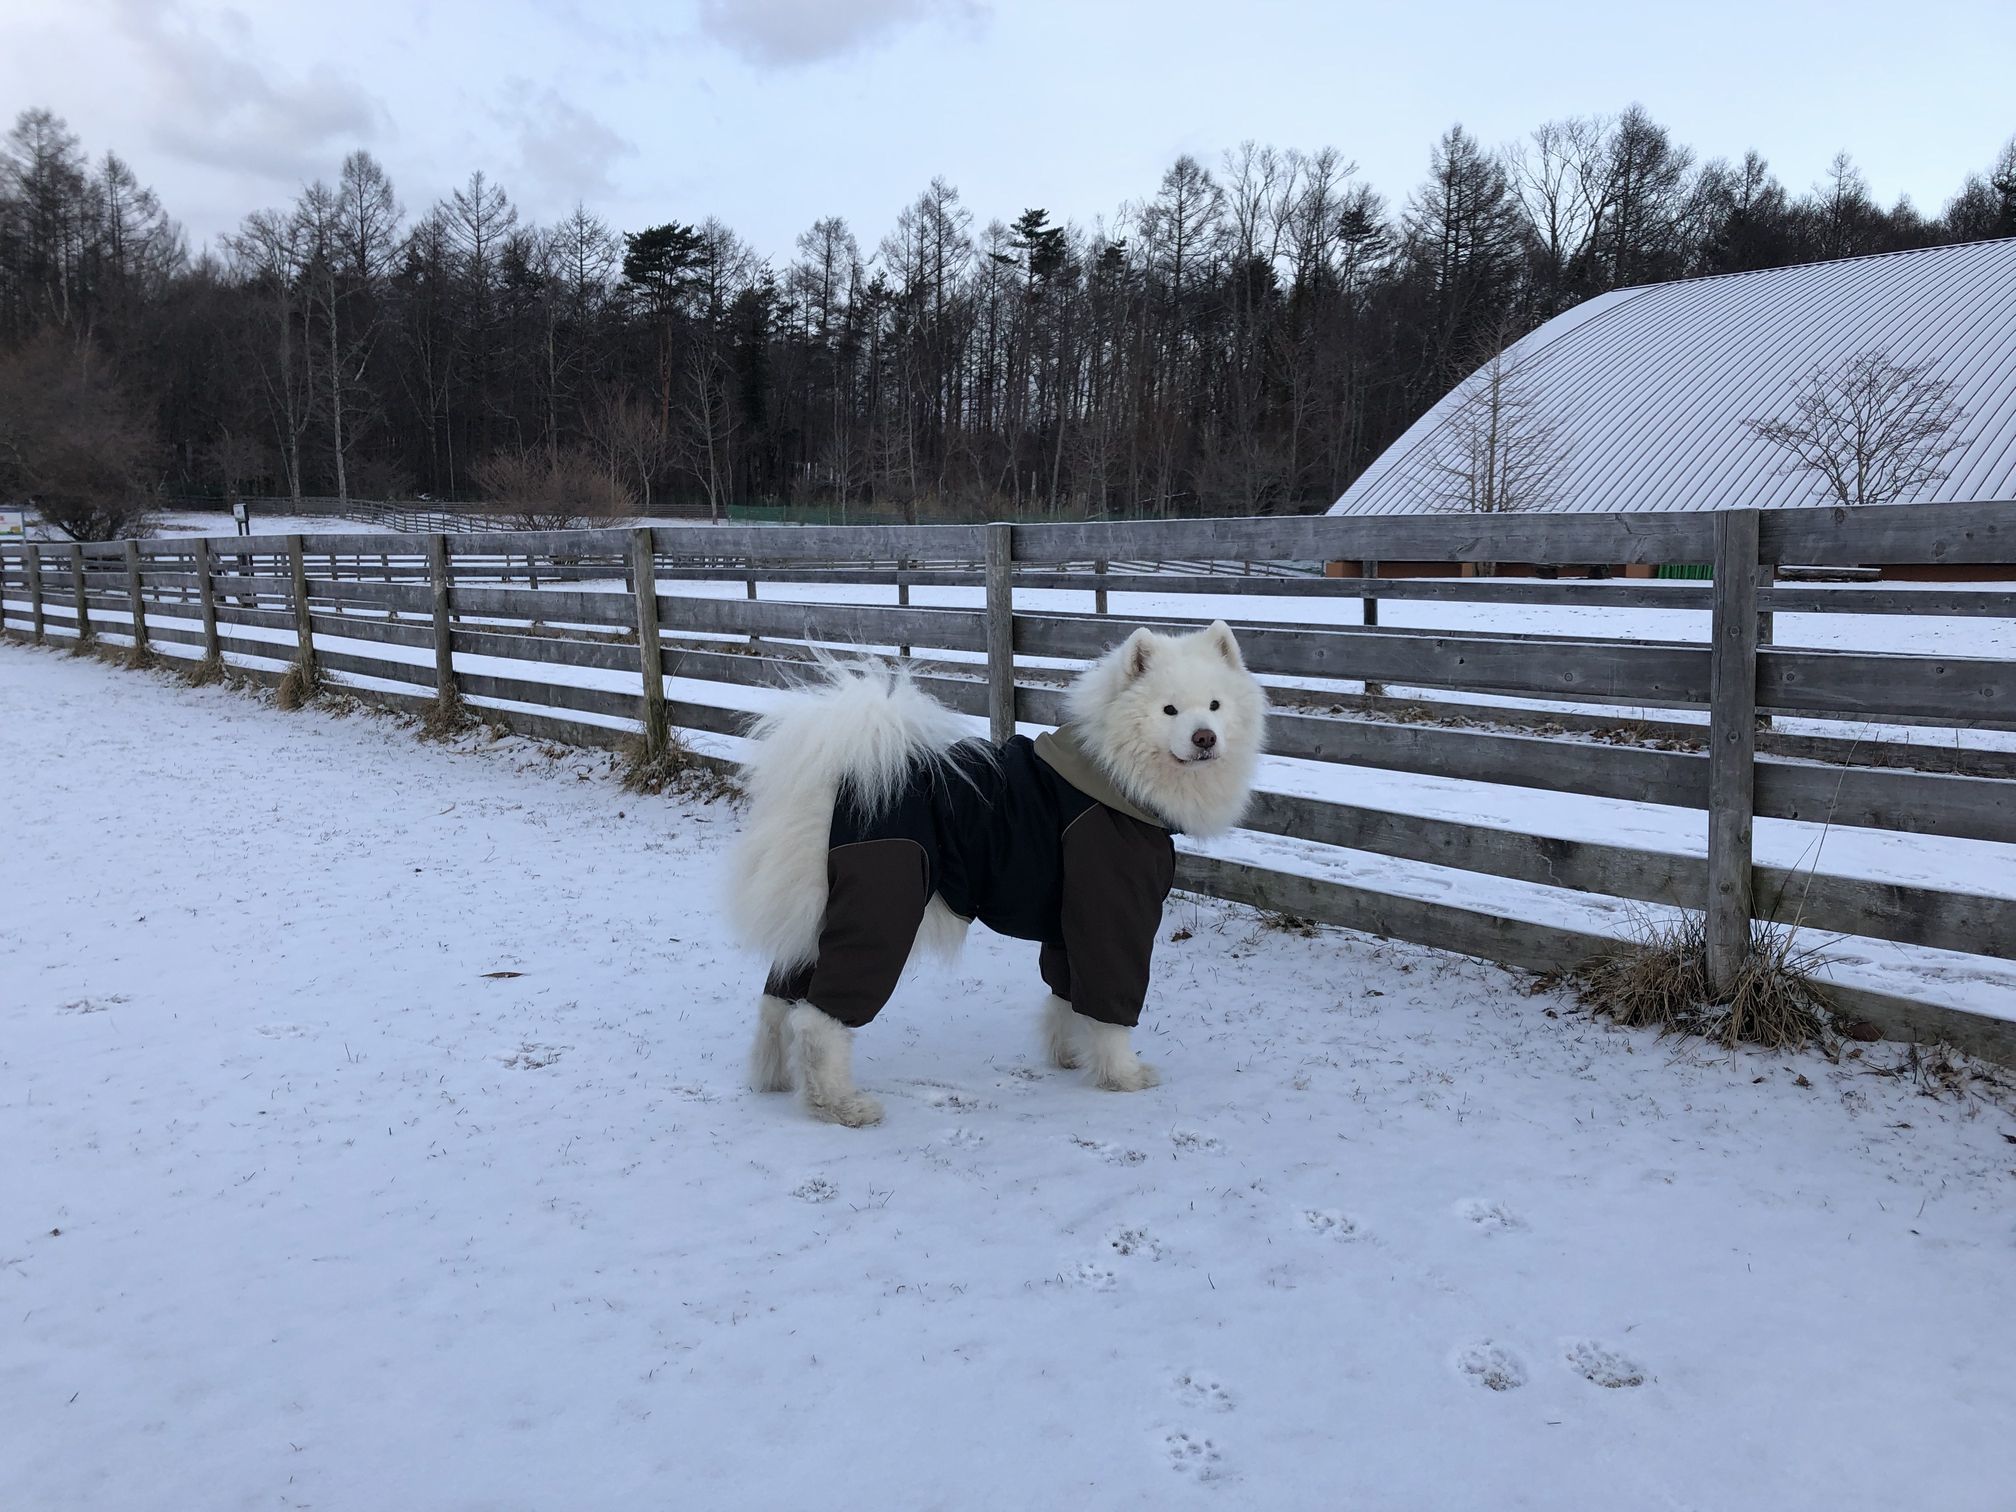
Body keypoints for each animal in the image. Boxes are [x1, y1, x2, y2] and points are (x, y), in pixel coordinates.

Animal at [721, 620, 1257, 1128]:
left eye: (1214, 705)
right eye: (1169, 710)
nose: (1205, 738)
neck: (1112, 773)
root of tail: (843, 778)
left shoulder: (1070, 920)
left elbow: (1066, 994)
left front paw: (1068, 1056)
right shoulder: (1113, 911)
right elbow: (1108, 1007)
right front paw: (1123, 1075)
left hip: (819, 918)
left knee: (777, 1001)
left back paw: (774, 1078)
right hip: (880, 910)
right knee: (819, 1021)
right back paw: (839, 1105)